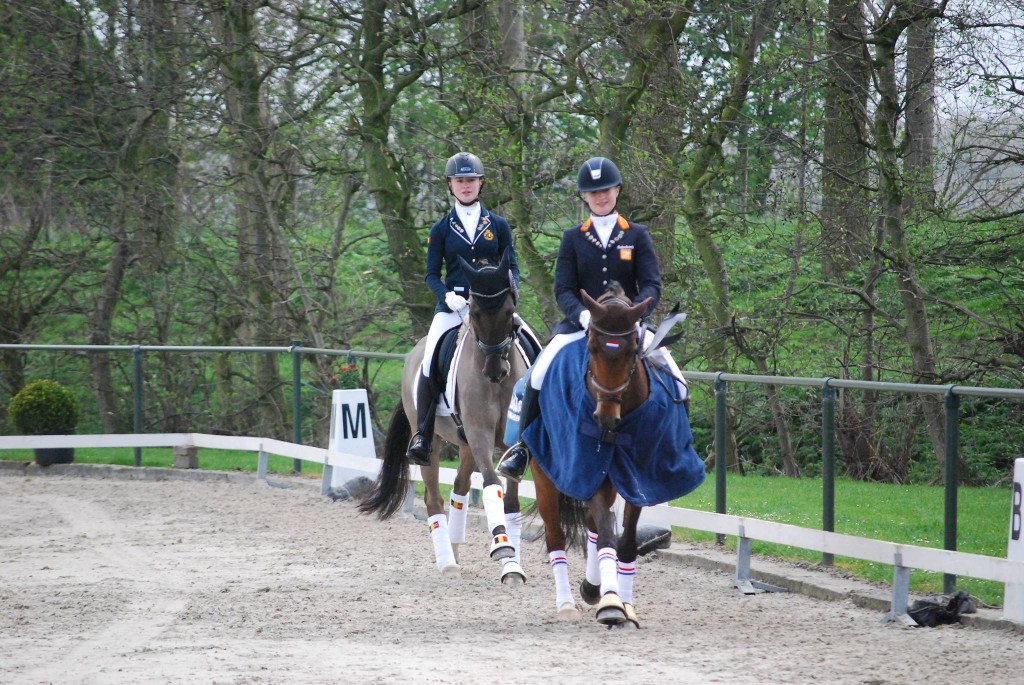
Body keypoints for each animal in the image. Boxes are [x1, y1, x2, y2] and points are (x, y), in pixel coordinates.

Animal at [360, 250, 532, 581]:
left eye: (509, 311)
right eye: (474, 313)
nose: (495, 371)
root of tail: (414, 351)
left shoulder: (509, 445)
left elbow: (512, 501)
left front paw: (513, 565)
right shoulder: (480, 435)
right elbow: (491, 485)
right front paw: (503, 546)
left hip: (464, 445)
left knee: (460, 489)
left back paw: (454, 551)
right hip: (433, 439)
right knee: (433, 497)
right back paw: (447, 562)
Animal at [524, 280, 700, 626]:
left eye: (633, 350)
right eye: (591, 348)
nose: (605, 418)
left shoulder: (639, 479)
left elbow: (625, 542)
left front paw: (623, 603)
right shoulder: (588, 467)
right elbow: (607, 535)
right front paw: (610, 603)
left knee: (593, 527)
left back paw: (593, 587)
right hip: (545, 476)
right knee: (556, 537)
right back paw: (567, 604)